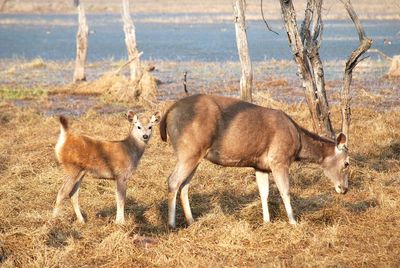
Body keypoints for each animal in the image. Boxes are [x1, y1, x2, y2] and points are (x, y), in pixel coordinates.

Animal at [161, 94, 348, 228]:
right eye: (347, 163)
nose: (344, 189)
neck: (298, 144)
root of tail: (167, 114)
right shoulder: (279, 160)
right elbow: (285, 191)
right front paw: (293, 222)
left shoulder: (260, 166)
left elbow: (264, 193)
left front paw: (266, 220)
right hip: (189, 151)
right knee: (173, 181)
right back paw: (172, 224)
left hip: (195, 155)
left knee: (184, 185)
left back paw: (191, 221)